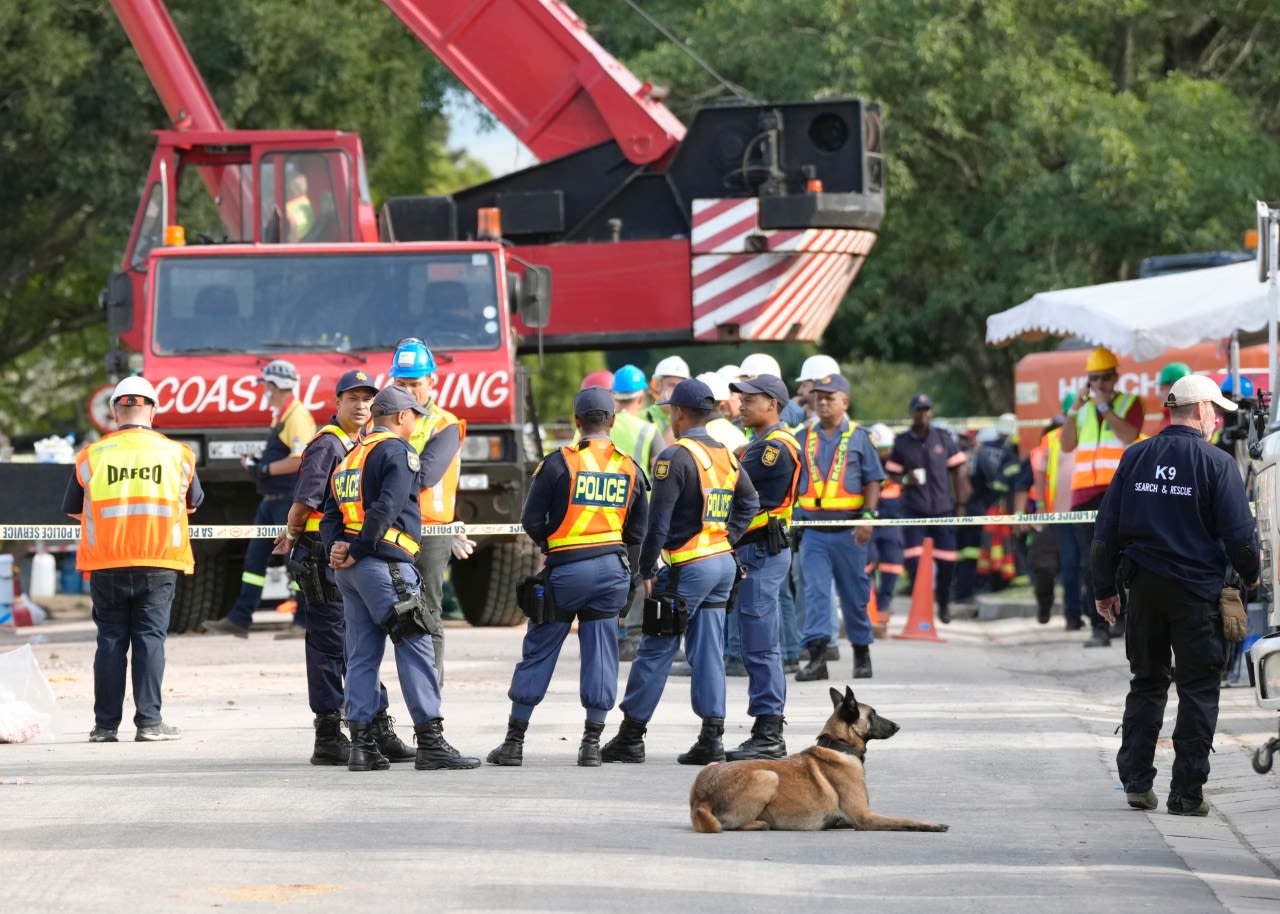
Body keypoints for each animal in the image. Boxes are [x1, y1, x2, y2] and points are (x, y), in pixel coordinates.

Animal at [691, 686, 952, 824]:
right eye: (873, 715)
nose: (897, 726)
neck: (838, 746)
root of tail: (702, 797)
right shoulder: (864, 817)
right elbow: (905, 821)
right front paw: (933, 825)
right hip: (767, 776)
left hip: (713, 765)